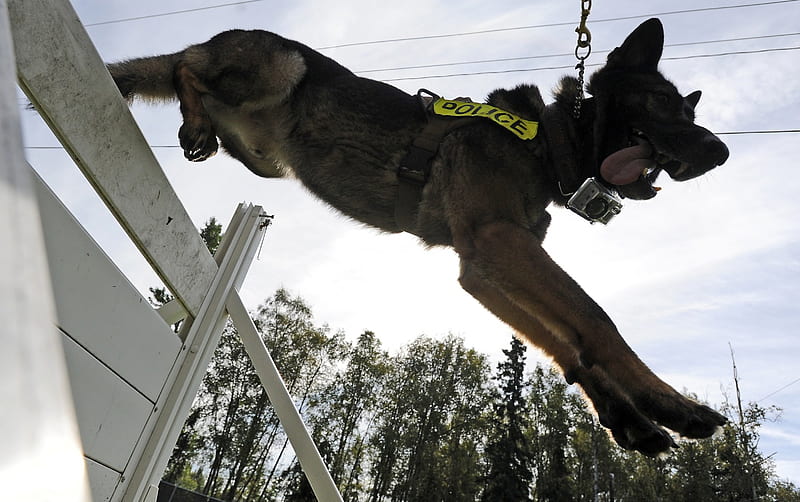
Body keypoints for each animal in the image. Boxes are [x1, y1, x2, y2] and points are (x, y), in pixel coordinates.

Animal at [108, 18, 732, 454]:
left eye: (688, 110)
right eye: (661, 103)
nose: (719, 153)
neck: (546, 139)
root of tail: (215, 39)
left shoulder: (482, 267)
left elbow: (563, 342)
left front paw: (626, 418)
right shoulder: (499, 241)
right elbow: (596, 319)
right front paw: (667, 402)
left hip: (266, 158)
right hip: (283, 63)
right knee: (186, 71)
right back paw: (194, 118)